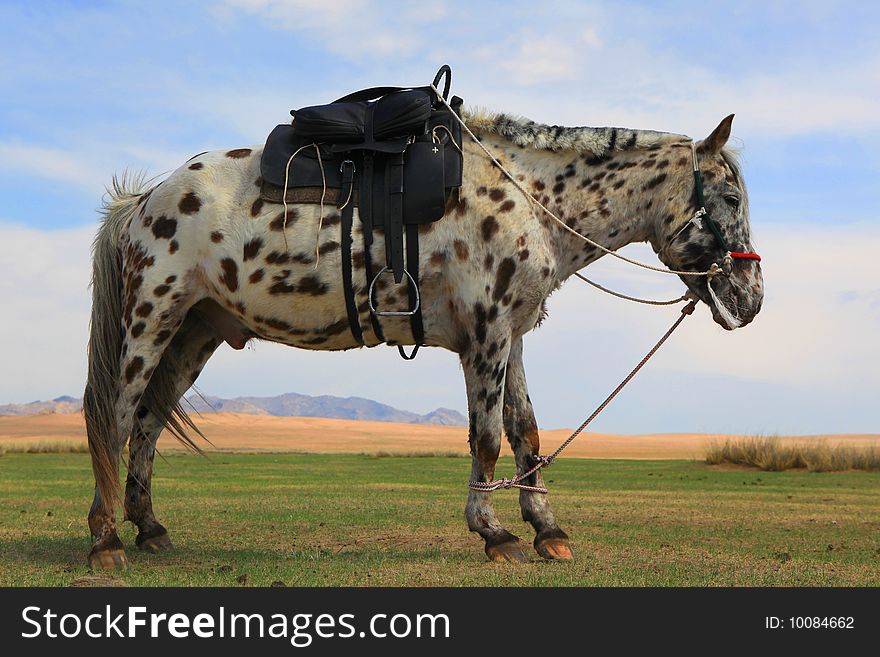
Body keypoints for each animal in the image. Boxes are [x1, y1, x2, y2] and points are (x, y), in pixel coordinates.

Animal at [87, 82, 764, 568]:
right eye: (731, 199)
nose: (752, 299)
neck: (529, 196)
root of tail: (142, 202)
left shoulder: (512, 333)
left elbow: (526, 432)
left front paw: (547, 529)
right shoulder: (484, 333)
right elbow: (486, 438)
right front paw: (494, 532)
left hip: (195, 332)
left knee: (147, 424)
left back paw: (148, 527)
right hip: (151, 319)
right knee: (116, 418)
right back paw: (105, 541)